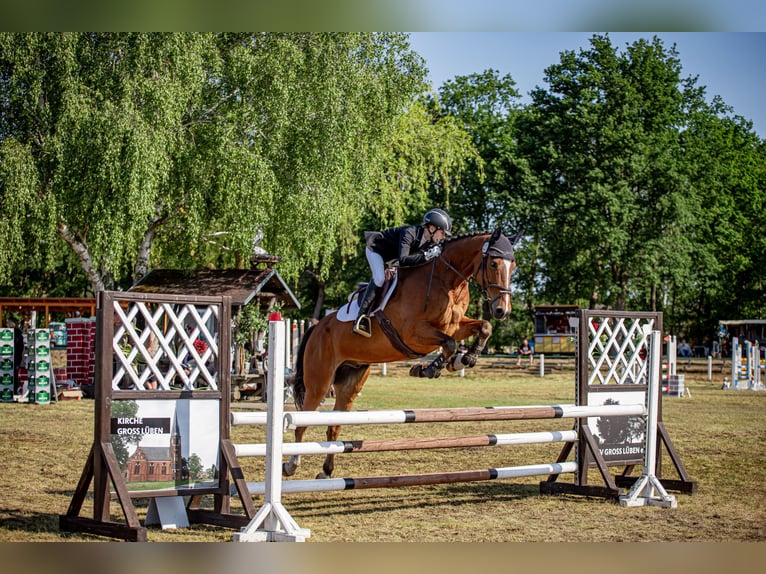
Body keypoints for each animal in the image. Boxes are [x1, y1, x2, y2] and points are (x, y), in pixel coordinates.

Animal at [284, 227, 524, 480]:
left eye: (514, 266)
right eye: (494, 264)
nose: (503, 310)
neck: (447, 280)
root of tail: (318, 326)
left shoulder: (455, 325)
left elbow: (483, 328)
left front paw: (465, 359)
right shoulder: (414, 333)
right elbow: (449, 344)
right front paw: (428, 369)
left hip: (350, 382)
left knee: (334, 426)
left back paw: (326, 471)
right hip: (319, 382)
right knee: (302, 422)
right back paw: (291, 464)